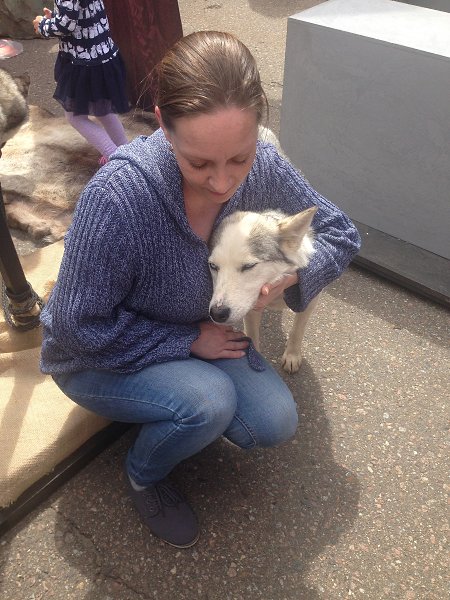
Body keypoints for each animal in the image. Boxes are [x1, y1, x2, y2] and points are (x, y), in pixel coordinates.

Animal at [208, 205, 319, 373]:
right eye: (213, 266)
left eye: (249, 266)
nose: (217, 313)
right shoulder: (252, 308)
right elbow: (252, 335)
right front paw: (256, 356)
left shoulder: (309, 300)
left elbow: (297, 331)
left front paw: (292, 355)